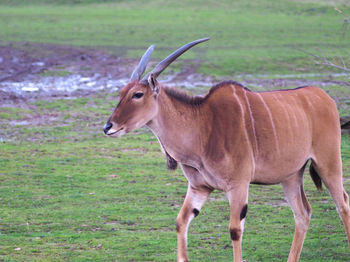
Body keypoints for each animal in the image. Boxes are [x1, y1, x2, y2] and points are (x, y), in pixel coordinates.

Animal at [103, 37, 350, 262]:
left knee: (343, 204)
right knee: (303, 214)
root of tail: (324, 97)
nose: (108, 127)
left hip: (328, 164)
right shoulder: (199, 187)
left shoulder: (238, 185)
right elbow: (181, 222)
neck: (203, 126)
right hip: (290, 177)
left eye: (137, 94)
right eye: (121, 93)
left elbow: (235, 230)